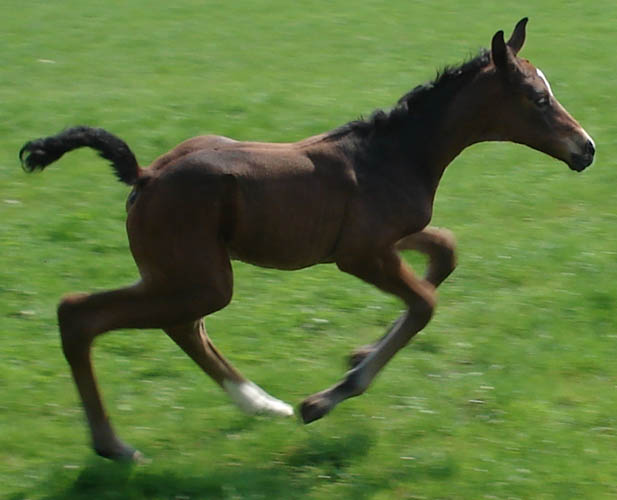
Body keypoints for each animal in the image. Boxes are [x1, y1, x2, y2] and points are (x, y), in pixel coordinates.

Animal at [21, 18, 596, 460]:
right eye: (537, 98)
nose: (586, 148)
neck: (394, 153)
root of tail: (143, 177)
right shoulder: (360, 256)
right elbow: (425, 303)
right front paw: (327, 397)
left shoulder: (385, 241)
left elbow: (446, 252)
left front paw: (358, 352)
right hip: (201, 279)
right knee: (82, 315)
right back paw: (114, 445)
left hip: (182, 274)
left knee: (181, 327)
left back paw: (258, 404)